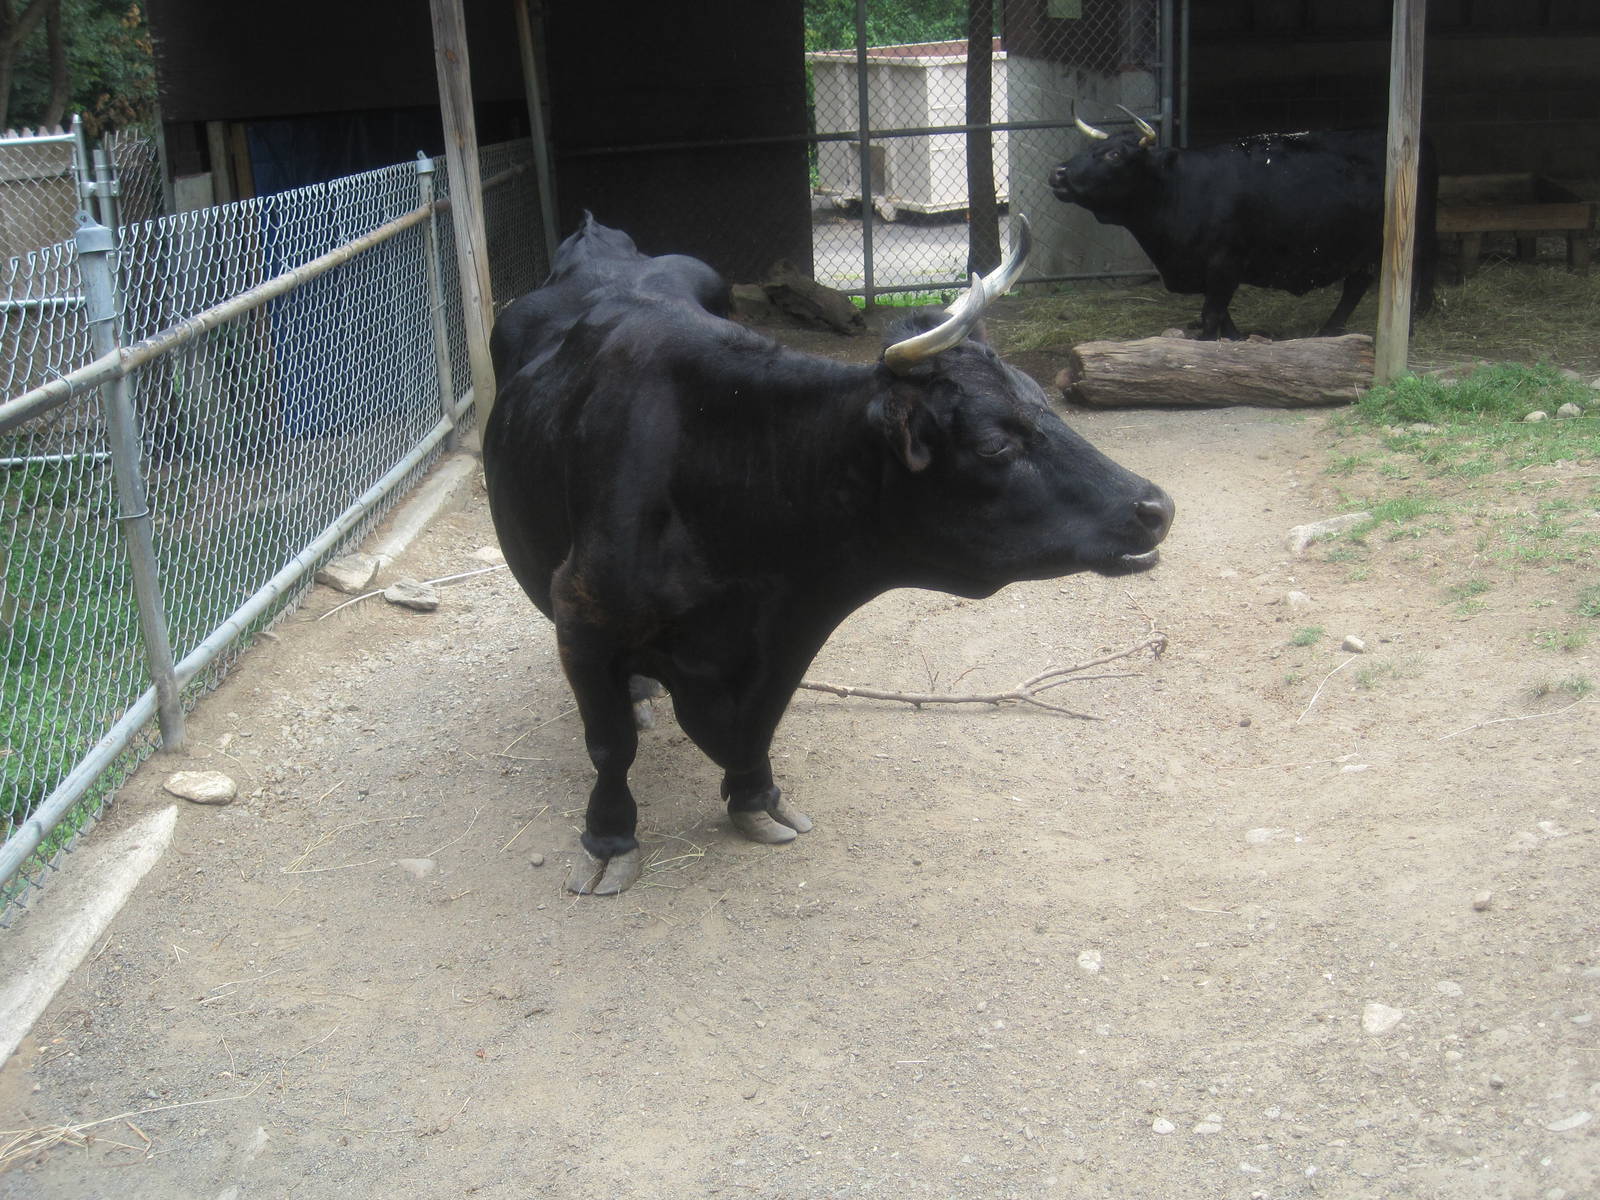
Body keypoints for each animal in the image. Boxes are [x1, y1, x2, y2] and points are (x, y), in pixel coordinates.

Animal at [483, 216, 1174, 895]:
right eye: (994, 444)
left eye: (1041, 400)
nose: (1156, 506)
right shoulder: (582, 616)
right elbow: (610, 747)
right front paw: (608, 840)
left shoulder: (790, 629)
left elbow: (760, 722)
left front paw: (756, 799)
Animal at [1048, 109, 1437, 341]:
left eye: (1114, 154)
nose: (1058, 173)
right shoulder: (1207, 269)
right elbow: (1220, 312)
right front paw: (1235, 338)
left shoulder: (1225, 262)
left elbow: (1211, 312)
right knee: (1358, 284)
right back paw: (1331, 329)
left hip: (1401, 241)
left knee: (1398, 281)